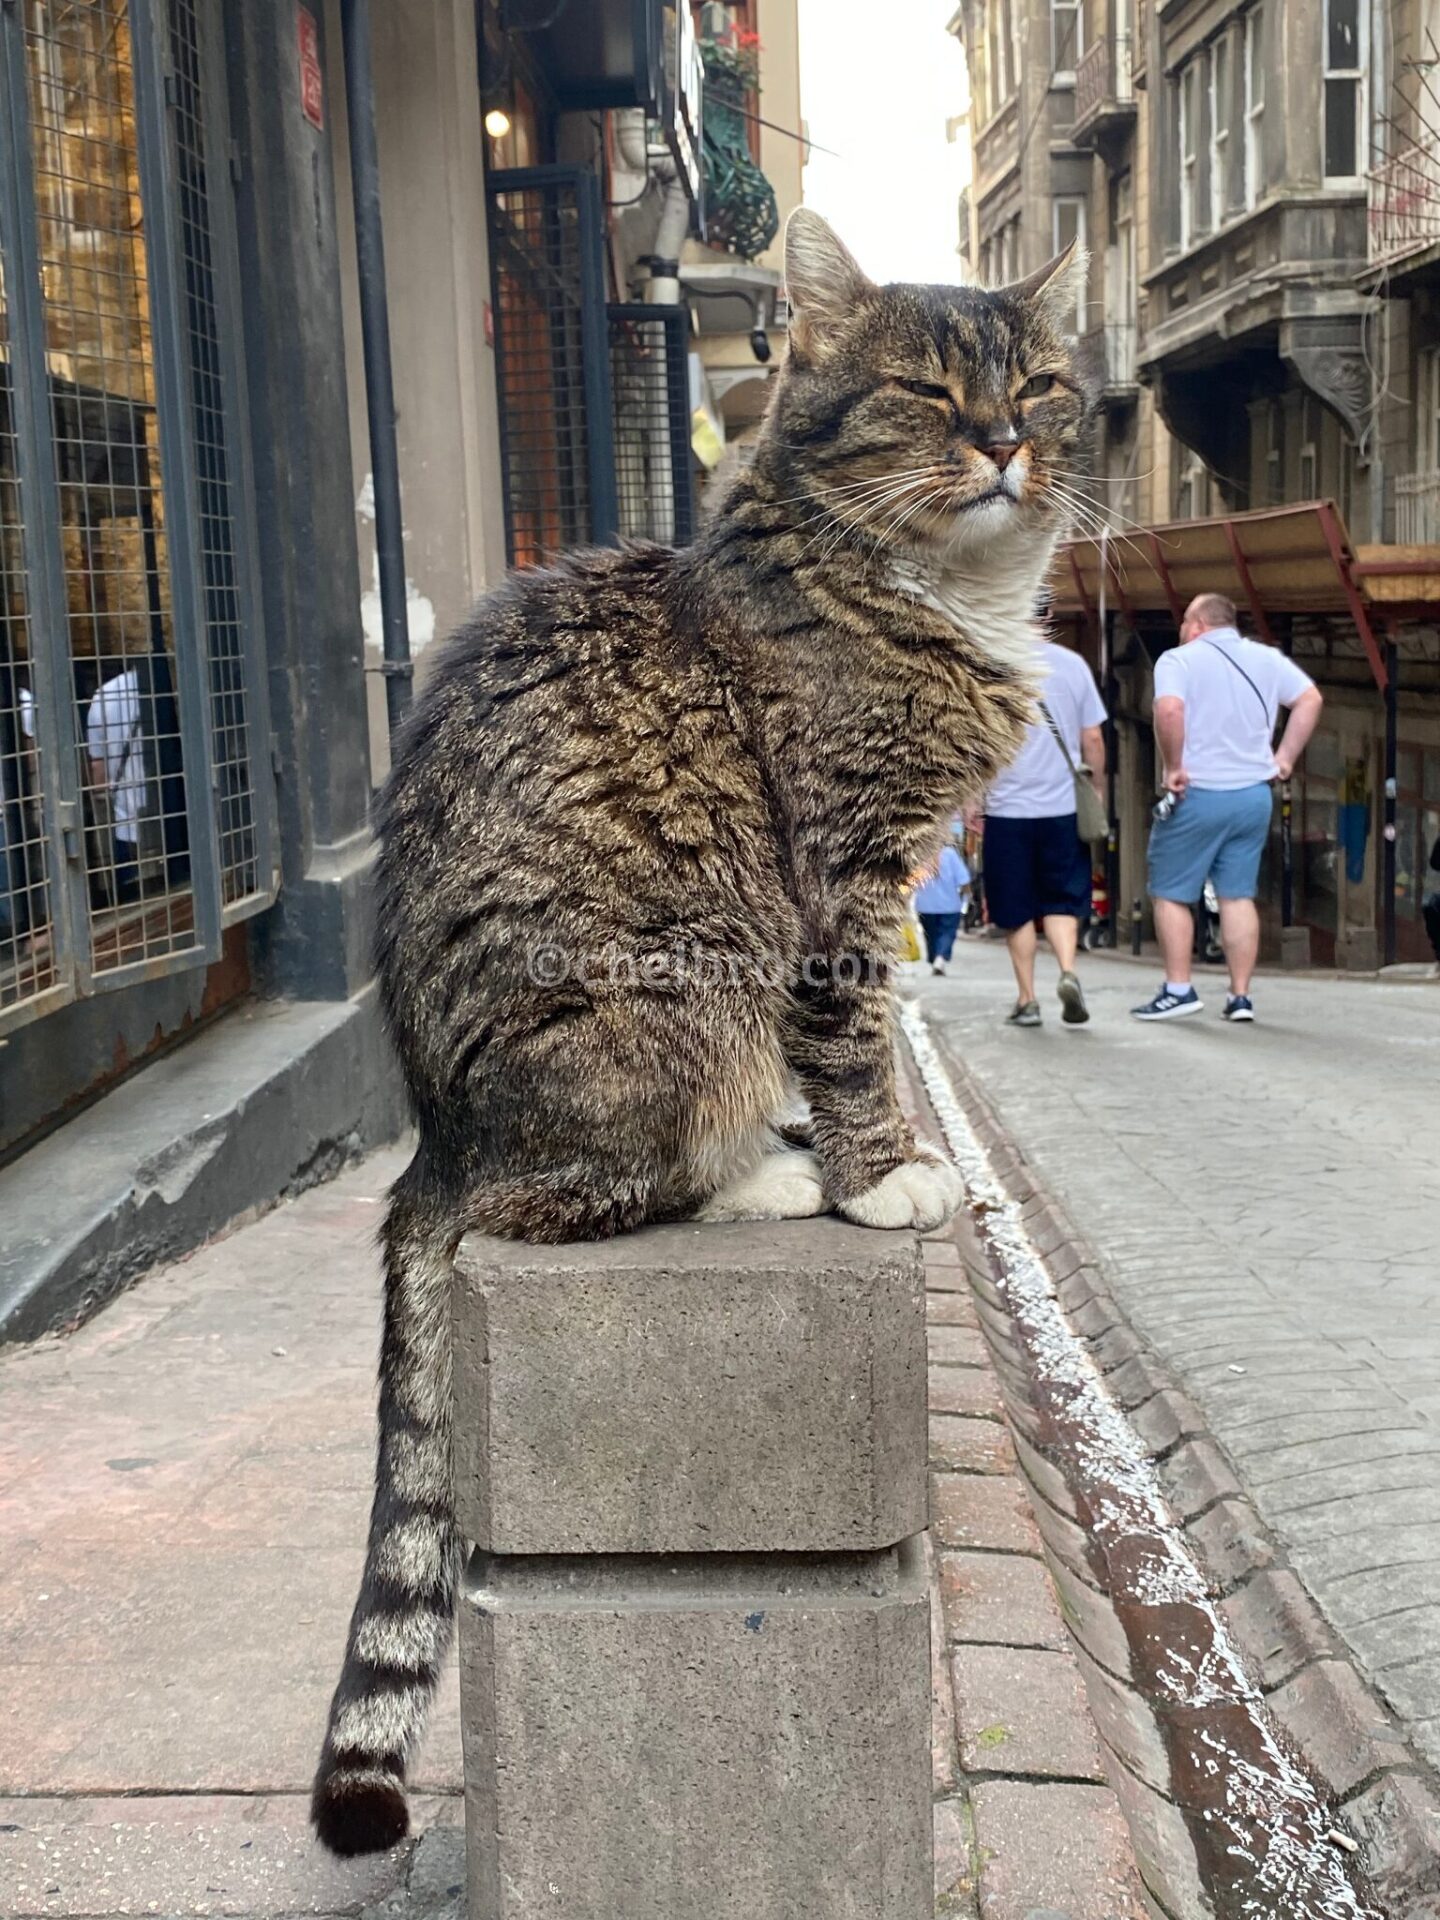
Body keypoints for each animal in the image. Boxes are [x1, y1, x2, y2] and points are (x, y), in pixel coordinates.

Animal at [312, 206, 1090, 1843]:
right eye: (928, 393)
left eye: (1043, 387)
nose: (1003, 441)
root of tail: (430, 1141)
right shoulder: (841, 875)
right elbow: (855, 1035)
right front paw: (881, 1172)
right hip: (679, 993)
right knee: (558, 1198)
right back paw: (766, 1173)